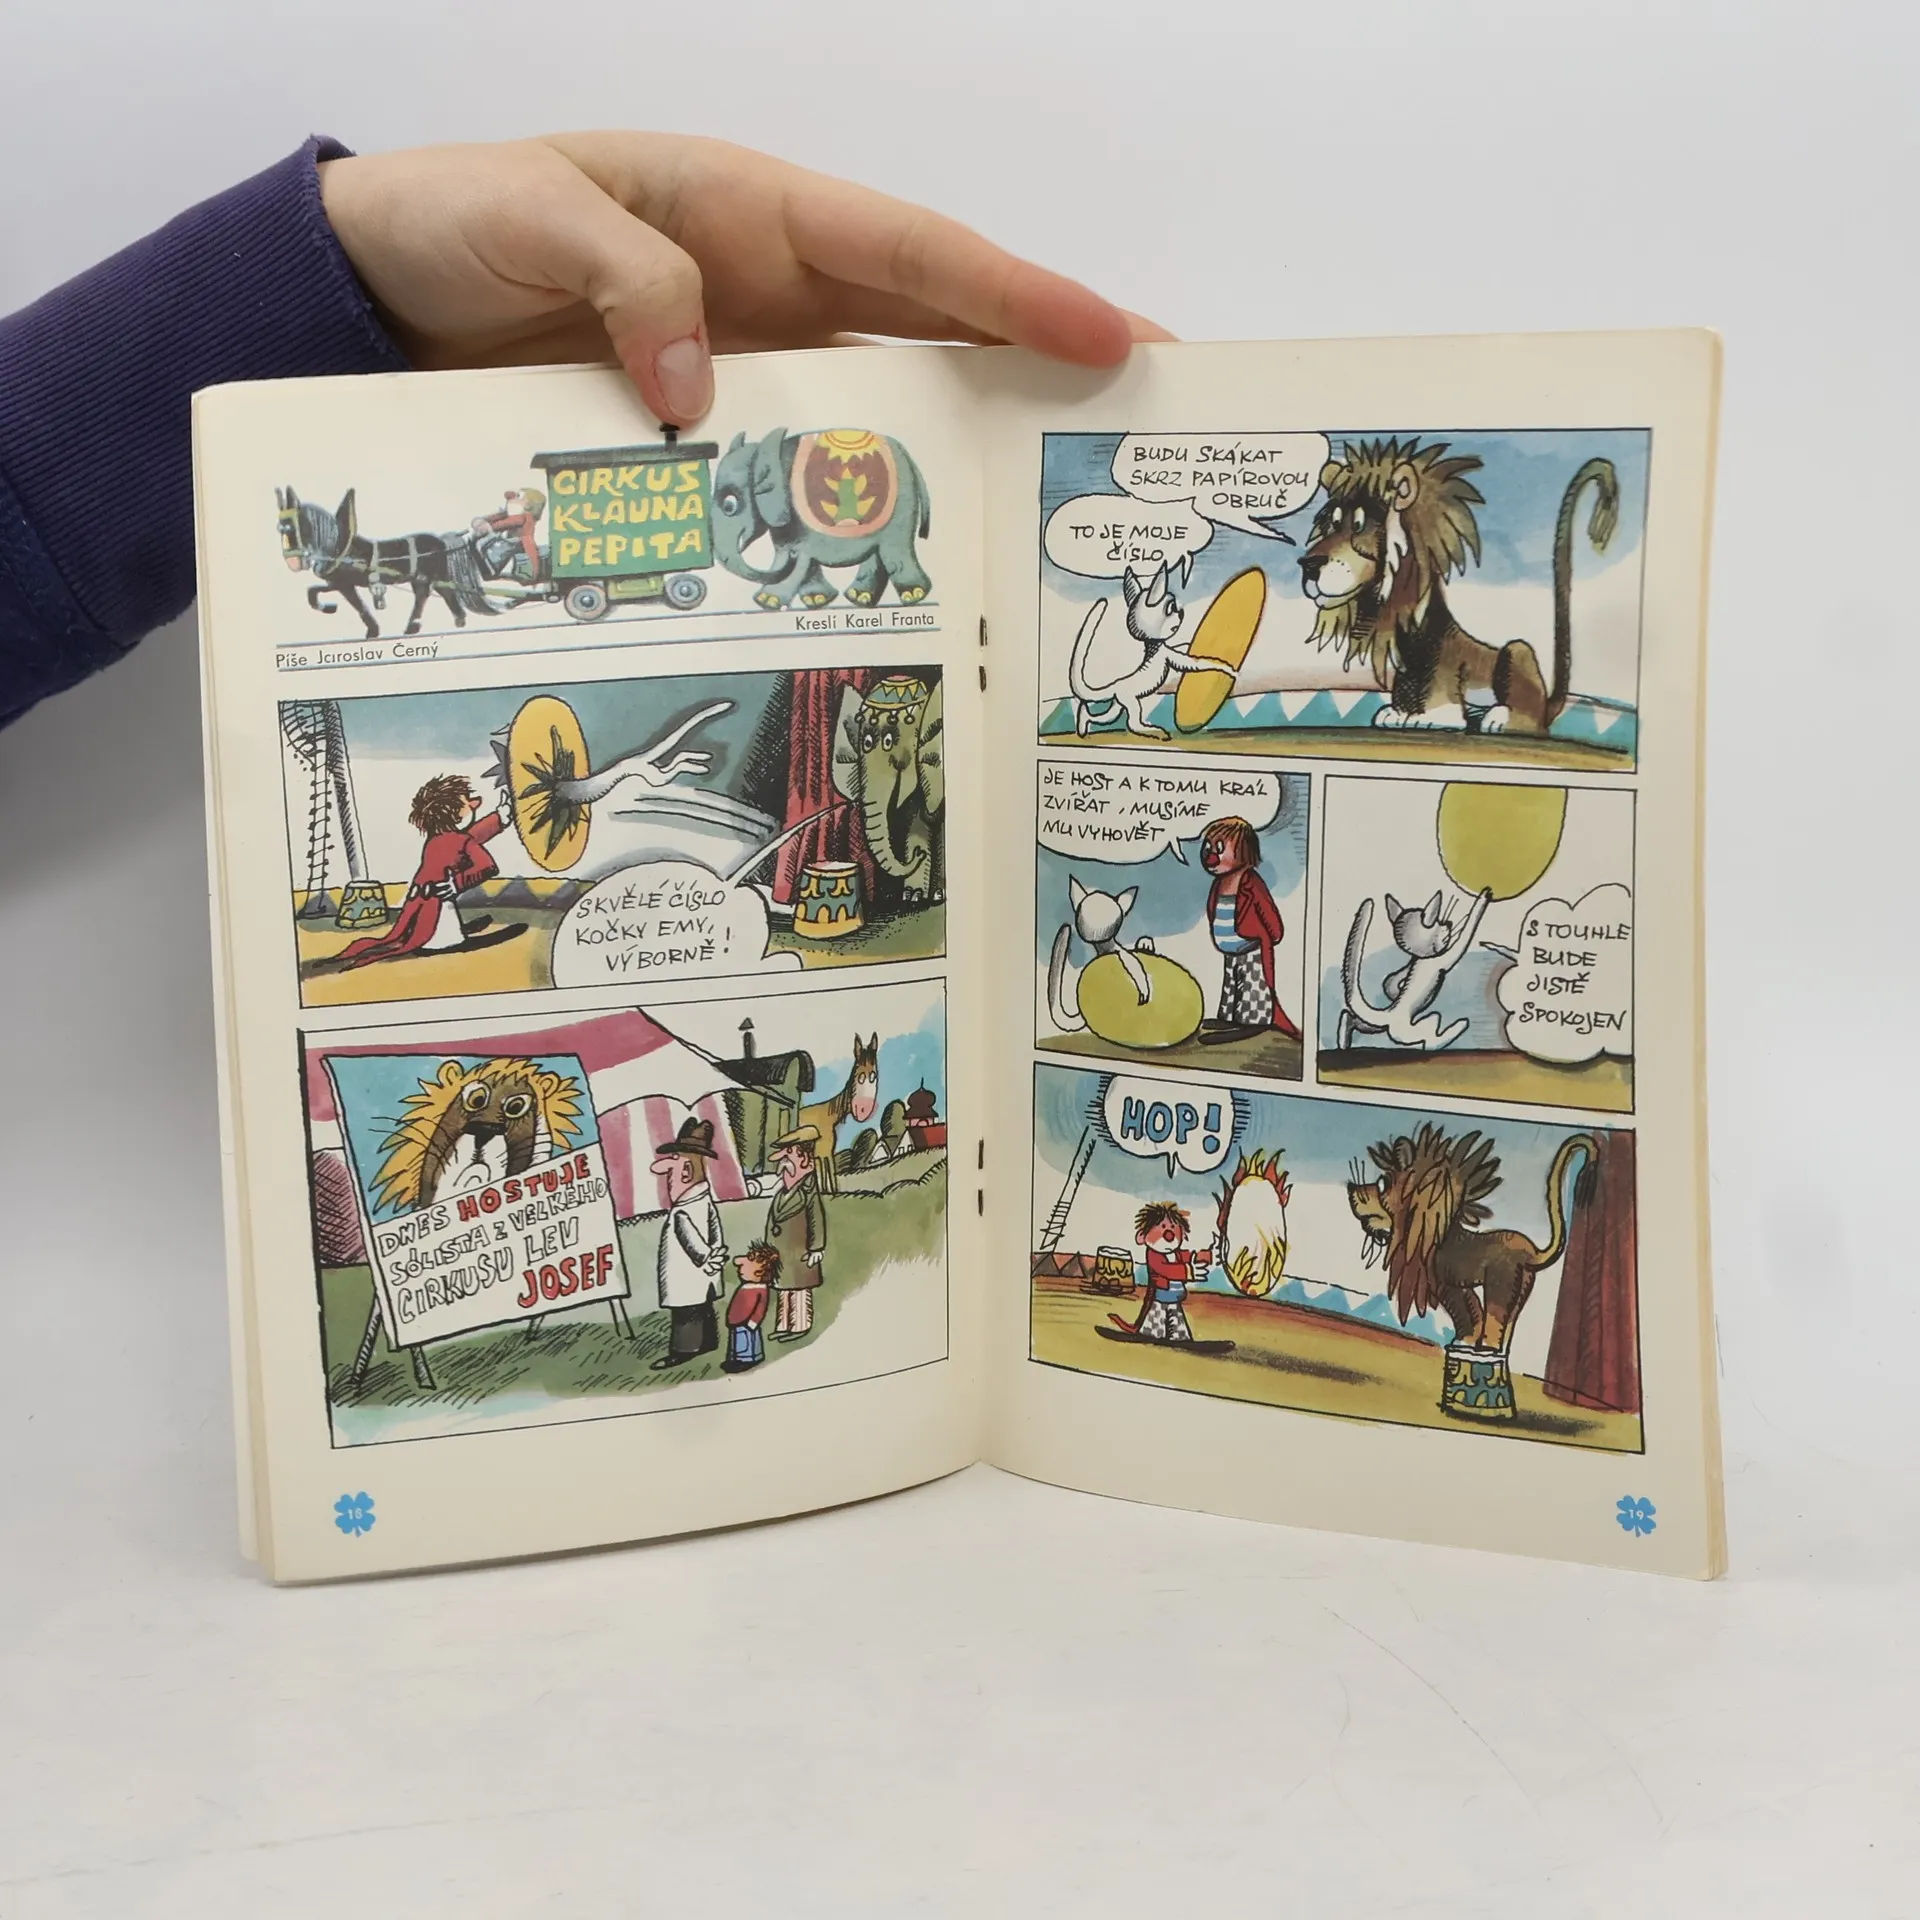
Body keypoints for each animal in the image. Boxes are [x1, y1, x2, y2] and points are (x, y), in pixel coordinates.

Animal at [276, 487, 498, 641]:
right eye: (280, 528)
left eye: (292, 527)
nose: (293, 562)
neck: (341, 549)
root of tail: (440, 540)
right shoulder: (335, 583)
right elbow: (312, 592)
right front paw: (328, 607)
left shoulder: (345, 584)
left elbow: (358, 605)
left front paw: (372, 630)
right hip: (425, 577)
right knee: (440, 592)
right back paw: (452, 620)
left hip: (428, 576)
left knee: (429, 595)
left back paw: (417, 626)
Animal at [712, 427, 932, 610]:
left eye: (729, 506)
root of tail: (907, 454)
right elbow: (799, 558)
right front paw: (817, 600)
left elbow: (799, 558)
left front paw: (767, 601)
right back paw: (859, 598)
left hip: (902, 506)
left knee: (895, 550)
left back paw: (913, 596)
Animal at [1299, 438, 1619, 734]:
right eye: (1332, 525)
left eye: (1359, 526)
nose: (1308, 565)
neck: (1411, 644)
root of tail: (1547, 704)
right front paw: (1397, 713)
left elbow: (1445, 709)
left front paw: (1425, 715)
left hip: (1518, 651)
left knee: (1529, 718)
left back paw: (1497, 718)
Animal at [1346, 1123, 1598, 1354]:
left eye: (1382, 1183)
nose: (1350, 1187)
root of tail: (1531, 1251)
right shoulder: (1453, 1285)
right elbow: (1470, 1310)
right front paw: (1464, 1341)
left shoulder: (1443, 1281)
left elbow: (1468, 1310)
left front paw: (1467, 1342)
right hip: (1522, 1288)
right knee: (1508, 1327)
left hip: (1500, 1284)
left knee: (1496, 1322)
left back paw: (1487, 1349)